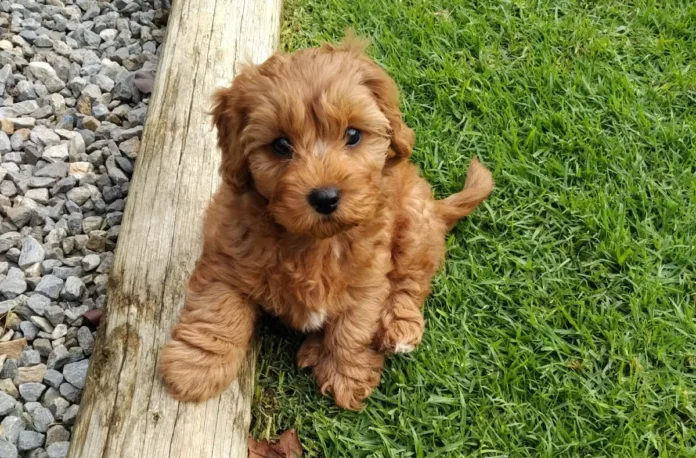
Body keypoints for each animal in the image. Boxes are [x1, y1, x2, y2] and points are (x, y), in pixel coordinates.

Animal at [158, 35, 494, 408]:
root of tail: (437, 208)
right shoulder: (226, 260)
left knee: (410, 283)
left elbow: (353, 328)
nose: (325, 197)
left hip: (414, 223)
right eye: (280, 145)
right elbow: (216, 312)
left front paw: (346, 375)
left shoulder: (368, 281)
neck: (313, 243)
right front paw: (195, 369)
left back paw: (398, 328)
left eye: (353, 134)